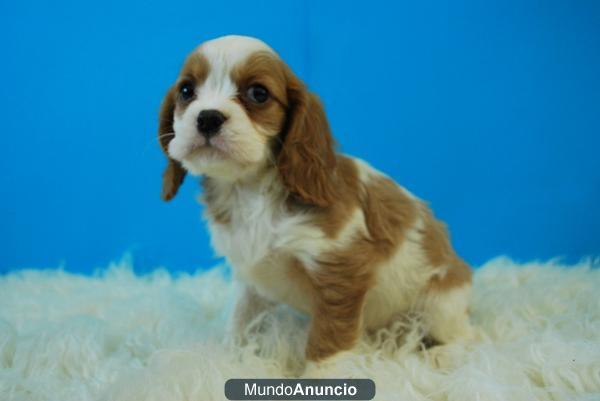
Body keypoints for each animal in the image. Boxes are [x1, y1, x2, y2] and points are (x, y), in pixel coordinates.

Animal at [158, 35, 474, 362]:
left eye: (258, 93)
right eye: (186, 91)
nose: (208, 117)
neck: (250, 191)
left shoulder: (340, 271)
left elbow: (329, 339)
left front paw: (323, 370)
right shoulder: (251, 280)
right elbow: (241, 319)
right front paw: (228, 357)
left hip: (439, 302)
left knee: (467, 336)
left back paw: (440, 354)